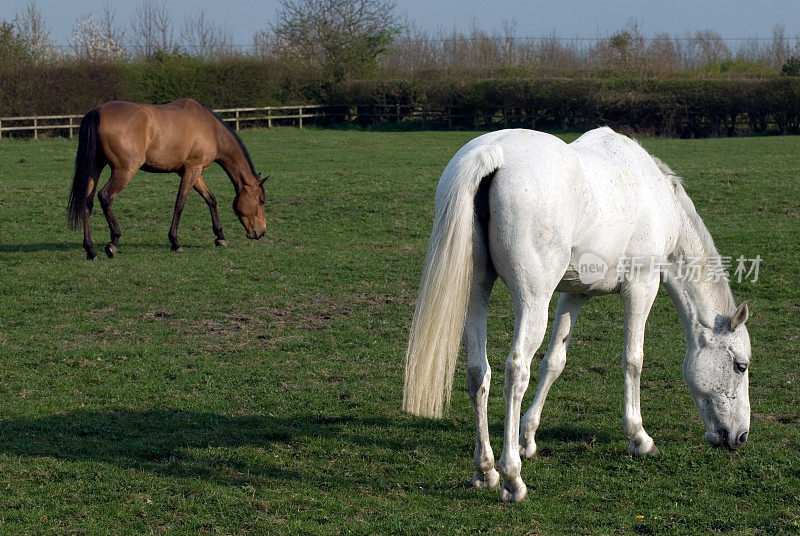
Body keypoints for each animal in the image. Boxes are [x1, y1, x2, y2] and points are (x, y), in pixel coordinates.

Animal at [67, 101, 268, 262]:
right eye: (261, 201)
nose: (261, 232)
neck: (210, 129)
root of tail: (97, 112)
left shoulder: (192, 171)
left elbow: (210, 198)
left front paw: (220, 236)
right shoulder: (192, 170)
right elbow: (180, 204)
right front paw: (175, 242)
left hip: (95, 168)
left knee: (87, 203)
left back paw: (91, 250)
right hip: (124, 171)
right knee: (105, 196)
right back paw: (113, 242)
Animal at [404, 126, 752, 502]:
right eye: (740, 365)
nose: (740, 437)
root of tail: (492, 153)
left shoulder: (575, 294)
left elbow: (555, 362)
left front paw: (527, 438)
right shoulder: (641, 287)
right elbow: (633, 360)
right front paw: (639, 437)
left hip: (477, 290)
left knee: (478, 372)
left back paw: (485, 471)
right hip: (533, 300)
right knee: (515, 372)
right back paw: (512, 478)